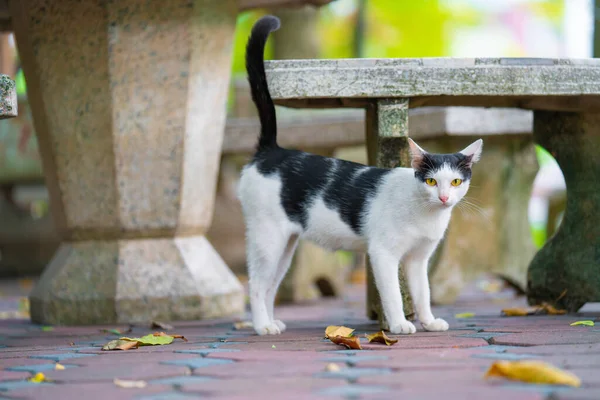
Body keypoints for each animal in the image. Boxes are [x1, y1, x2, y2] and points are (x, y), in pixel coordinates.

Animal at [238, 14, 482, 334]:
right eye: (431, 181)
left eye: (455, 181)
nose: (443, 197)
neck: (426, 214)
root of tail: (271, 150)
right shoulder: (382, 254)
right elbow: (393, 294)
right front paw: (399, 324)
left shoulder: (417, 260)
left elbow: (423, 293)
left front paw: (428, 322)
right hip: (268, 238)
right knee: (256, 284)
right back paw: (262, 327)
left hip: (286, 246)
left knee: (270, 286)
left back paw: (271, 321)